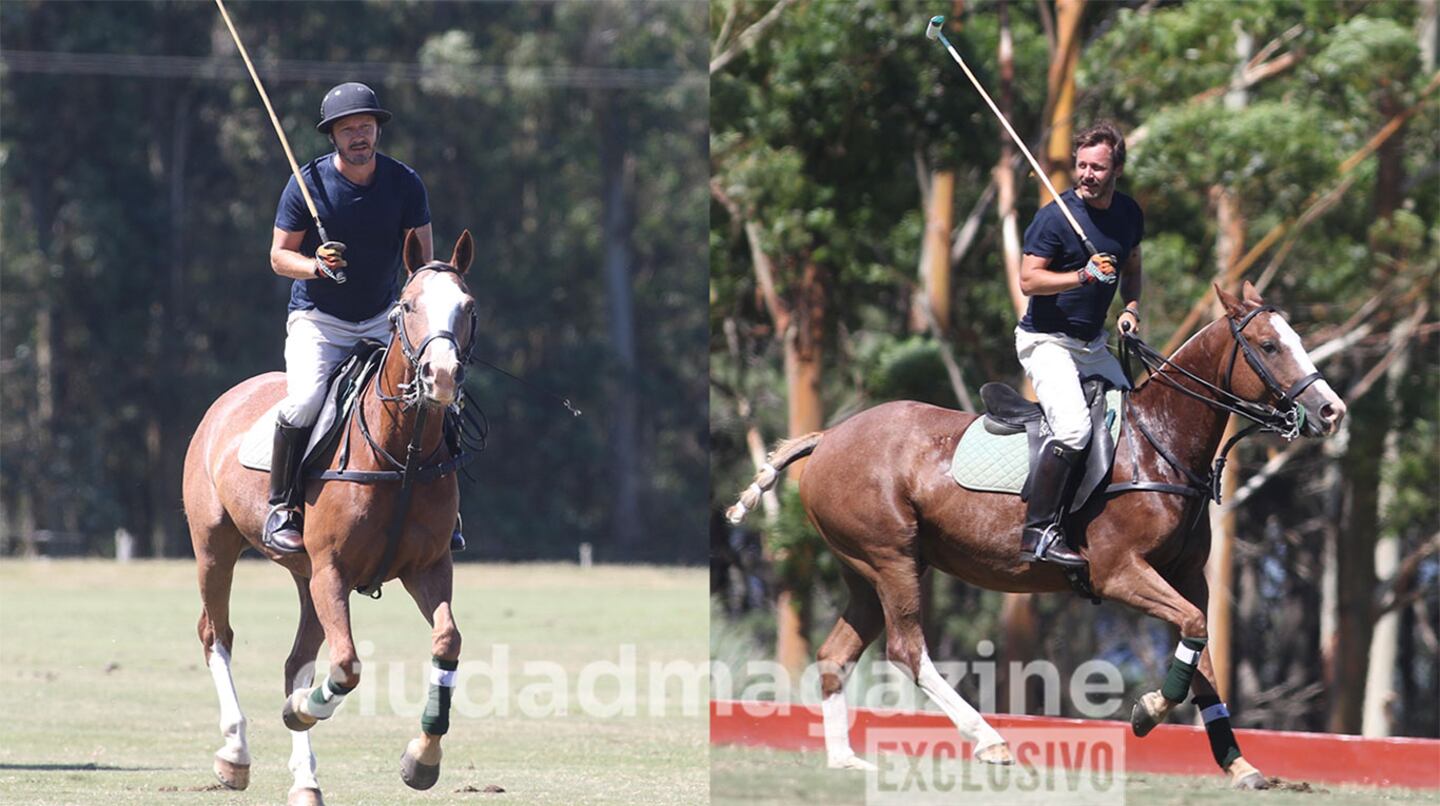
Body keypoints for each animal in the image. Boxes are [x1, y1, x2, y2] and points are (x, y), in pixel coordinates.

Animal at [182, 230, 478, 800]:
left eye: (468, 306)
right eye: (407, 306)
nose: (441, 377)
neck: (401, 454)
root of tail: (228, 398)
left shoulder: (428, 567)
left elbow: (447, 640)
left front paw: (422, 757)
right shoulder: (332, 569)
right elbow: (346, 664)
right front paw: (301, 711)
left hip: (303, 574)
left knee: (296, 660)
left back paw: (306, 781)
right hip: (214, 546)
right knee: (216, 634)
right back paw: (235, 754)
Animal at [731, 282, 1347, 788]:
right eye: (1269, 345)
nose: (1331, 411)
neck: (1160, 443)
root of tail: (830, 436)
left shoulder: (1187, 577)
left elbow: (1203, 654)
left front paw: (1240, 765)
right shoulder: (1119, 572)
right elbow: (1194, 631)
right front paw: (1147, 711)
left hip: (864, 571)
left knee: (835, 655)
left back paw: (844, 760)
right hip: (891, 559)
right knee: (907, 649)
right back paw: (990, 740)